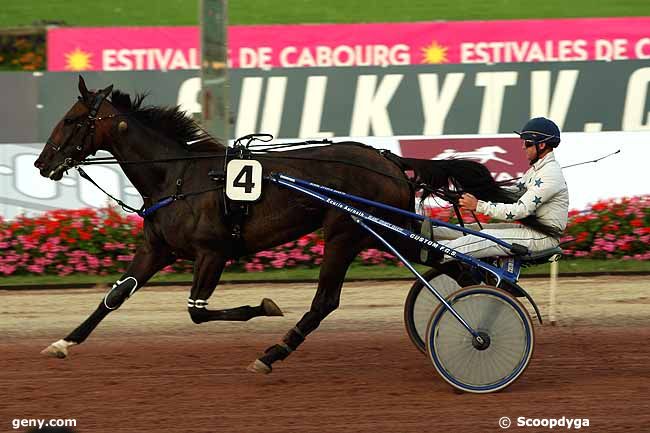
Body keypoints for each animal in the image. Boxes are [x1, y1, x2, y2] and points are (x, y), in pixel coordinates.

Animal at [35, 76, 520, 372]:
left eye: (72, 120)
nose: (42, 163)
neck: (178, 176)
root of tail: (389, 160)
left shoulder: (212, 252)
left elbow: (198, 312)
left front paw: (264, 307)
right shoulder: (158, 248)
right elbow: (115, 296)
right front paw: (64, 343)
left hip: (348, 233)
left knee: (326, 301)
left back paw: (273, 352)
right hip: (380, 234)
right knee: (453, 266)